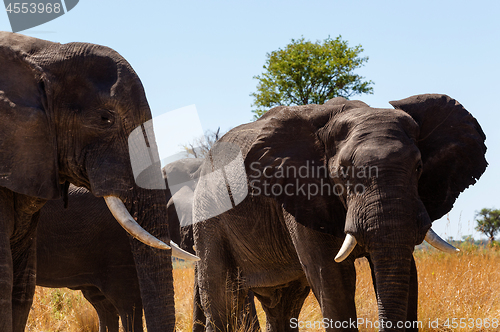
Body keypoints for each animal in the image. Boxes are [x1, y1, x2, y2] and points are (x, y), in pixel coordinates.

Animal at [192, 94, 488, 332]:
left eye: (418, 167)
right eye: (344, 172)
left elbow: (407, 275)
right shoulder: (303, 193)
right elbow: (333, 278)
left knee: (282, 304)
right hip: (208, 213)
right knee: (223, 299)